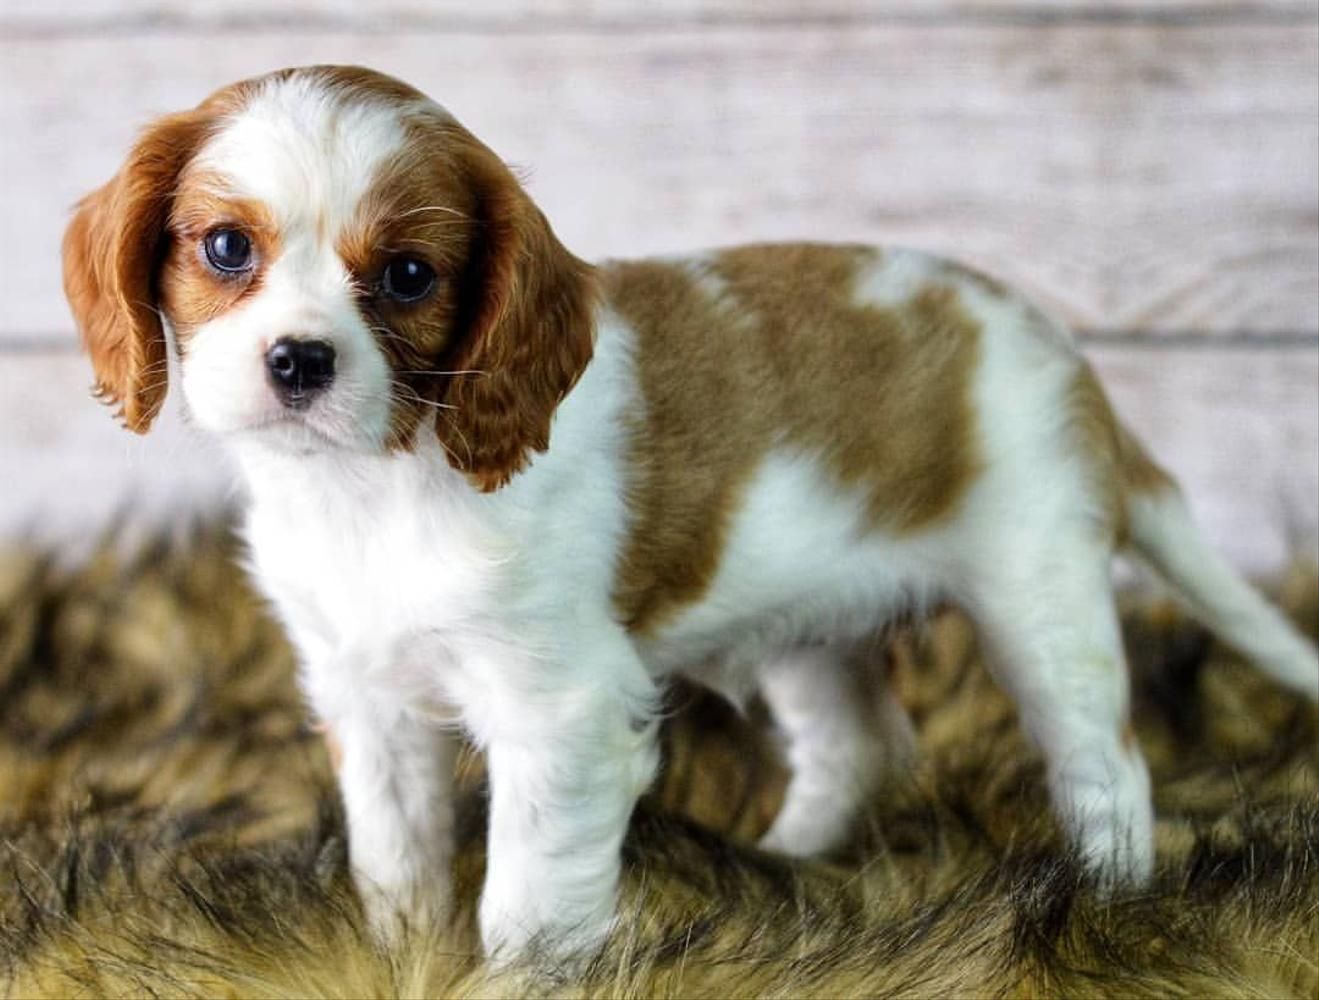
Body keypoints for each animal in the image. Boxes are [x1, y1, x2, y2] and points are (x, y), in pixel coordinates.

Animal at [64, 64, 1319, 965]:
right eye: (226, 248)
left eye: (409, 276)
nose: (299, 361)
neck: (374, 482)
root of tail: (1066, 354)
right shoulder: (364, 699)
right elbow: (396, 859)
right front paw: (397, 955)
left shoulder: (561, 713)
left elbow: (527, 897)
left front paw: (511, 974)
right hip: (809, 626)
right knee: (858, 742)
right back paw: (781, 870)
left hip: (1037, 592)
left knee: (1103, 762)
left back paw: (1105, 905)